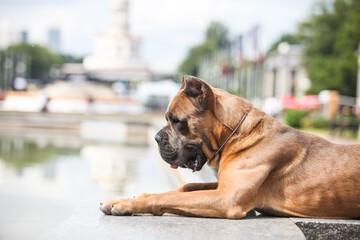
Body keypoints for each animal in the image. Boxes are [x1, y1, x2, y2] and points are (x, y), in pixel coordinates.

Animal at [100, 75, 360, 219]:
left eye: (176, 121)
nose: (155, 137)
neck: (236, 135)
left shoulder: (226, 198)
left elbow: (172, 198)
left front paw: (126, 204)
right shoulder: (222, 185)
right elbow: (184, 188)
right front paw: (130, 197)